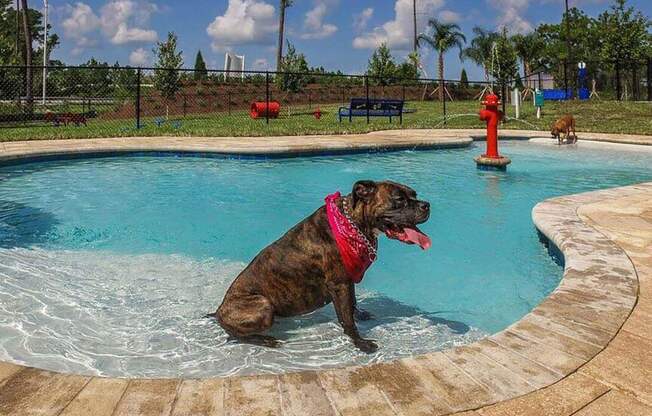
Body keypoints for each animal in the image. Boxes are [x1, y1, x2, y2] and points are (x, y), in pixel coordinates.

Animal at [211, 180, 430, 352]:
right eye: (399, 199)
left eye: (414, 194)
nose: (427, 205)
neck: (352, 224)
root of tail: (219, 311)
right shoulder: (339, 284)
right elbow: (346, 318)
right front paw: (360, 343)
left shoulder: (347, 281)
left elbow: (352, 303)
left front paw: (360, 315)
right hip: (263, 305)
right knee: (235, 335)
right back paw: (264, 339)